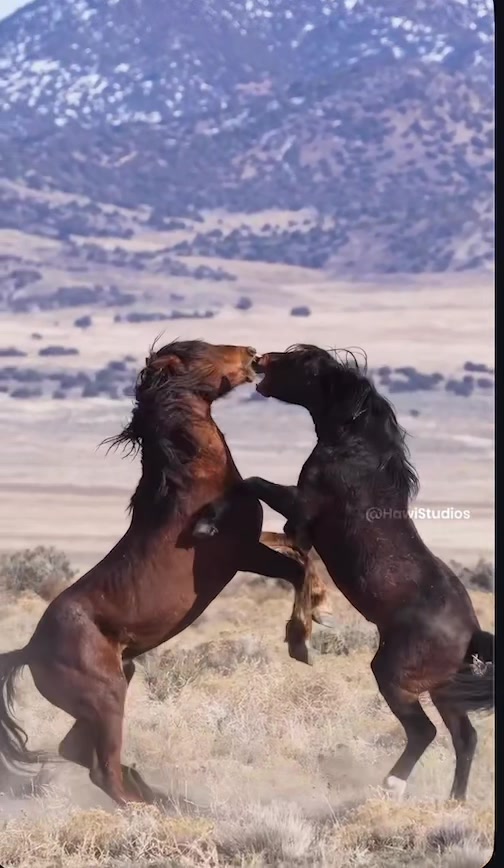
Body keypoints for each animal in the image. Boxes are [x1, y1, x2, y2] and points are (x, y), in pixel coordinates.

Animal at [0, 340, 328, 807]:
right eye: (203, 353)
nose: (252, 353)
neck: (193, 476)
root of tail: (27, 651)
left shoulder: (251, 547)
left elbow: (302, 556)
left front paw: (318, 607)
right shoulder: (240, 553)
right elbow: (295, 567)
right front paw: (301, 639)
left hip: (119, 679)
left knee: (77, 751)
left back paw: (157, 793)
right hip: (107, 696)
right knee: (103, 771)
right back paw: (149, 808)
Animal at [193, 344, 494, 802]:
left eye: (304, 363)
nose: (260, 359)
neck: (356, 449)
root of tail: (472, 632)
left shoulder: (300, 509)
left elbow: (253, 485)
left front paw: (205, 524)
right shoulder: (299, 527)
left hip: (394, 675)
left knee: (423, 731)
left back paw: (392, 785)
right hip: (445, 688)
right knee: (465, 736)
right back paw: (453, 801)